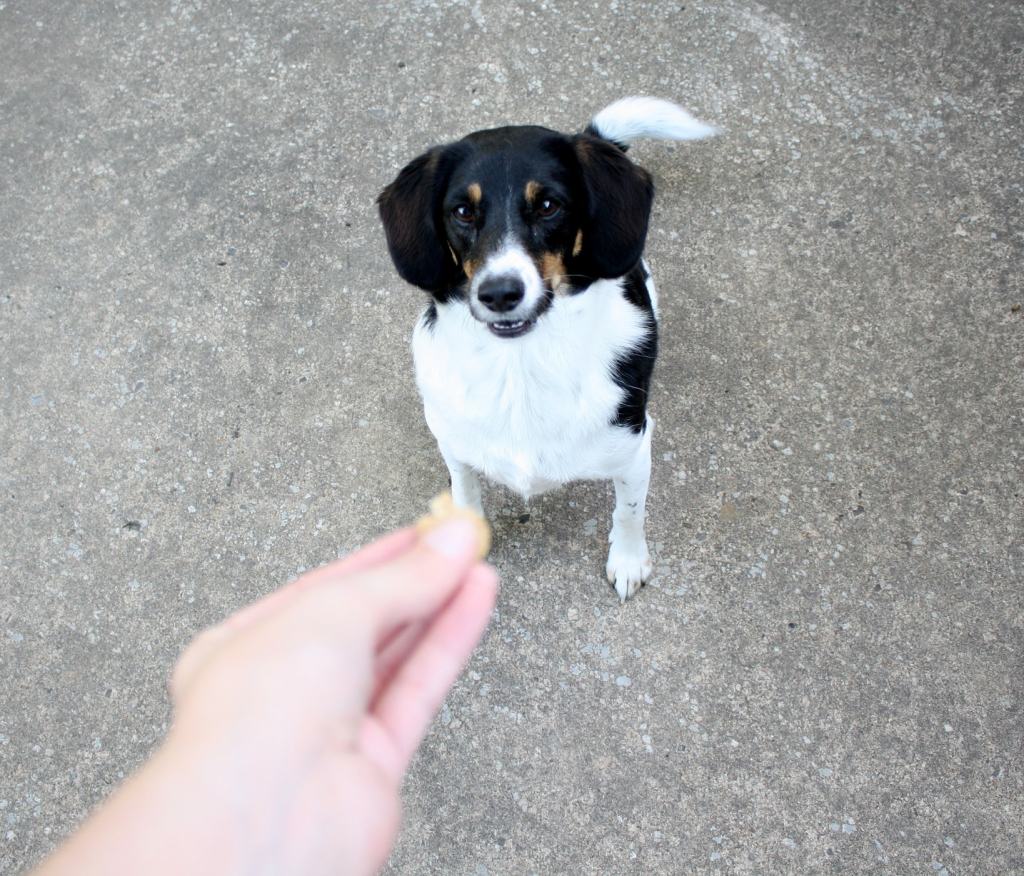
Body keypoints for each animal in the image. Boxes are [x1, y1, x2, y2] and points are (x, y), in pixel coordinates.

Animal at [378, 97, 720, 602]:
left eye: (547, 205)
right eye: (462, 211)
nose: (499, 293)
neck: (520, 366)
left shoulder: (636, 449)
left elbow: (630, 511)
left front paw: (628, 560)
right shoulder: (453, 445)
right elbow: (465, 493)